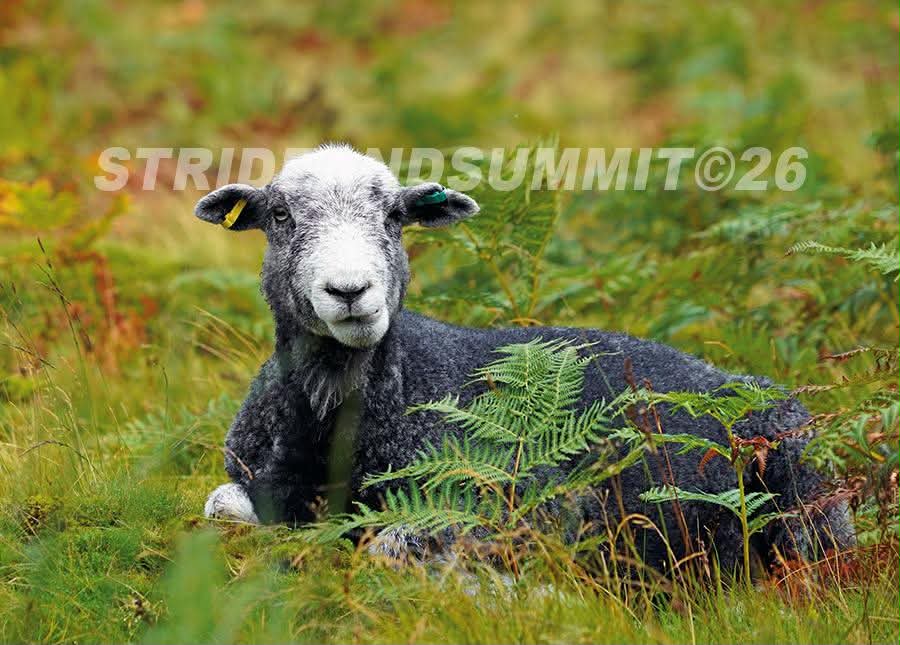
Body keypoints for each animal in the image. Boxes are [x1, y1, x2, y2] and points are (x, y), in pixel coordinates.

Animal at [196, 144, 853, 574]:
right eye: (280, 216)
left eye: (395, 218)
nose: (350, 291)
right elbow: (220, 509)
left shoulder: (505, 504)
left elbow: (387, 547)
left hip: (809, 504)